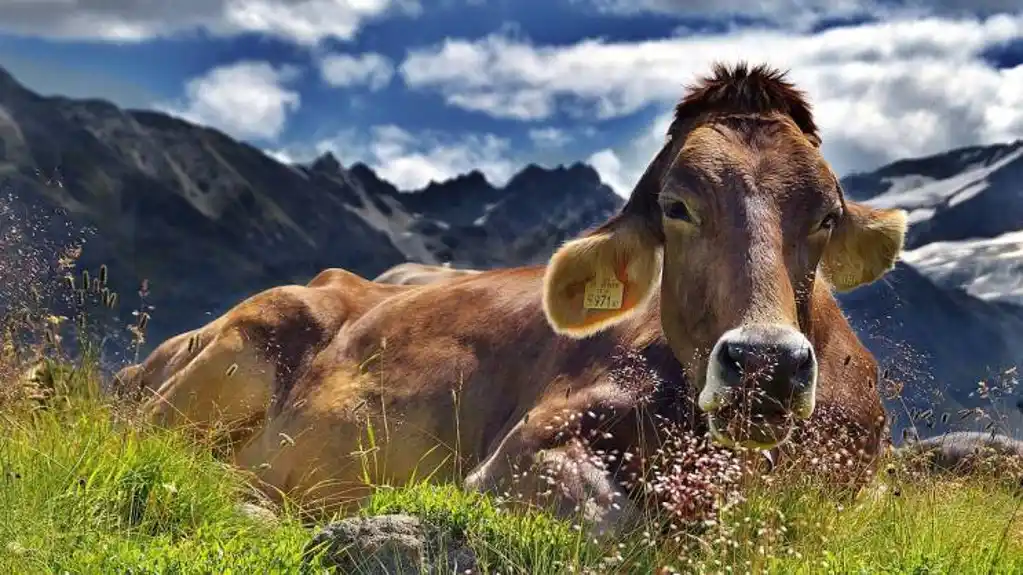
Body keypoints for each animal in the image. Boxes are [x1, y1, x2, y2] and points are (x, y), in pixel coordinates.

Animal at [134, 63, 904, 536]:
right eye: (677, 206)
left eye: (826, 214)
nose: (765, 364)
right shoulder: (519, 453)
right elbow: (609, 522)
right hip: (229, 358)